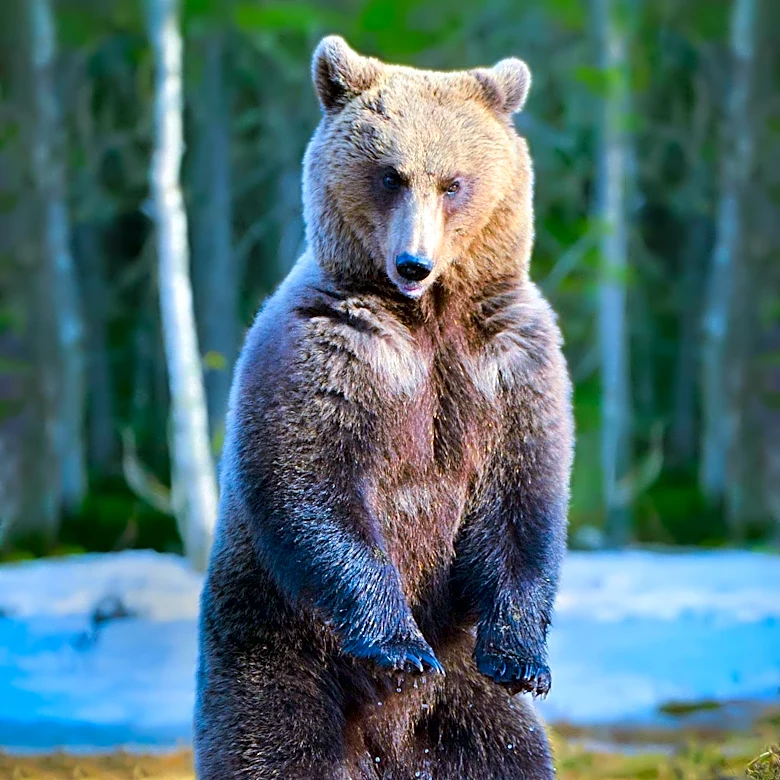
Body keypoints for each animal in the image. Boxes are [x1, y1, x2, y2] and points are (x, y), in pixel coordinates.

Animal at [195, 35, 574, 780]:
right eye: (390, 175)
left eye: (453, 182)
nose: (413, 263)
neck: (427, 319)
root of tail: (384, 747)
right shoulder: (333, 353)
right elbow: (313, 483)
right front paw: (400, 644)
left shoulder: (508, 363)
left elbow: (523, 494)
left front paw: (524, 658)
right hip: (271, 652)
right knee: (269, 746)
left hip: (463, 707)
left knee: (507, 749)